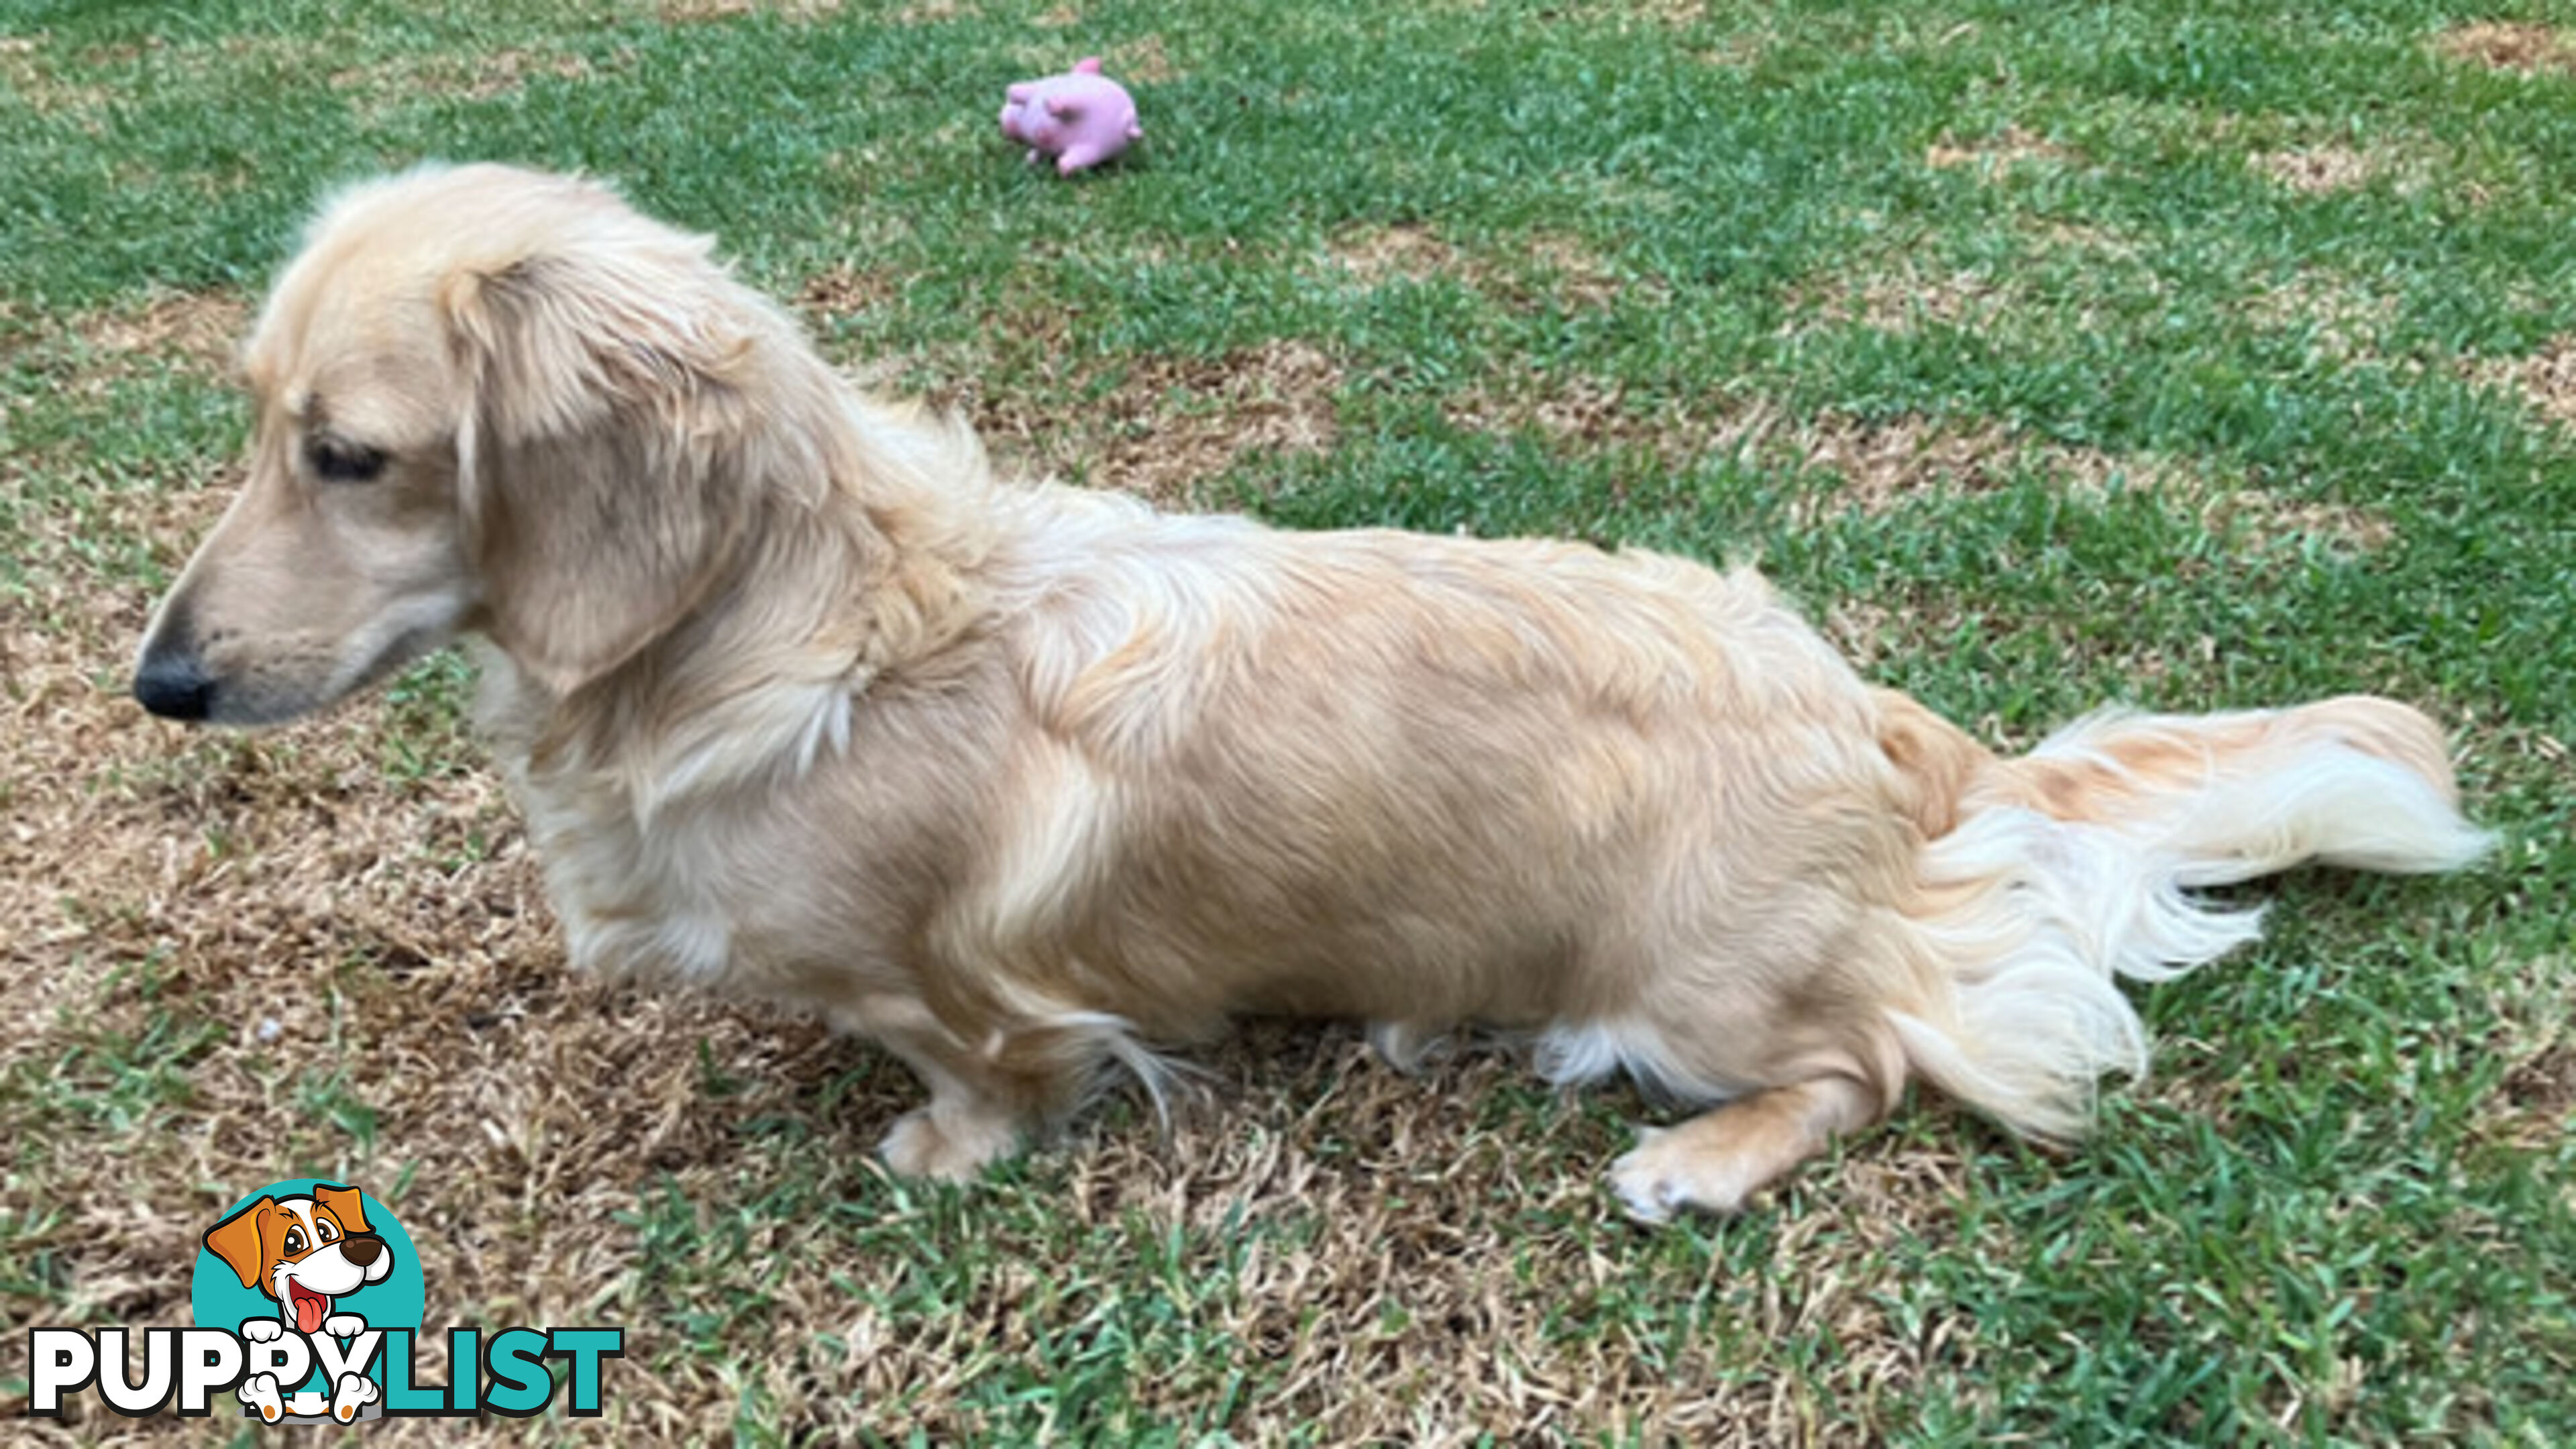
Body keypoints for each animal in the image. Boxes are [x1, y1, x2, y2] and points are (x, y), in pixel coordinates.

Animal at [125, 164, 2493, 1212]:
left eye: (352, 455)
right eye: (255, 423)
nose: (159, 681)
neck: (800, 632)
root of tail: (1882, 719)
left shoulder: (967, 982)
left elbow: (988, 1064)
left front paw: (934, 1148)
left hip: (1691, 988)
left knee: (1886, 1061)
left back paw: (1698, 1161)